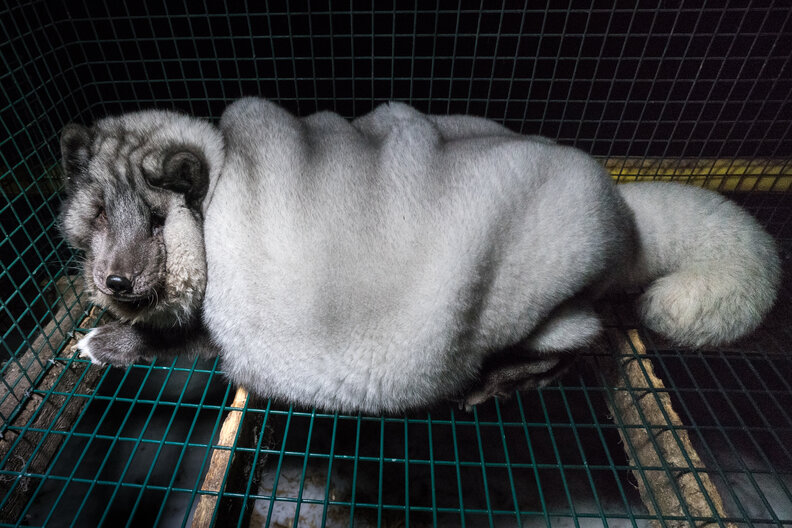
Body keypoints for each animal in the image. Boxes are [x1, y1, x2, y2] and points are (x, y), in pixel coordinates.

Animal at [60, 97, 781, 413]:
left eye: (158, 221)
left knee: (578, 344)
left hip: (538, 310)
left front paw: (104, 342)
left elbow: (176, 345)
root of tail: (621, 214)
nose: (115, 282)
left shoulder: (221, 324)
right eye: (98, 217)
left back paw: (497, 384)